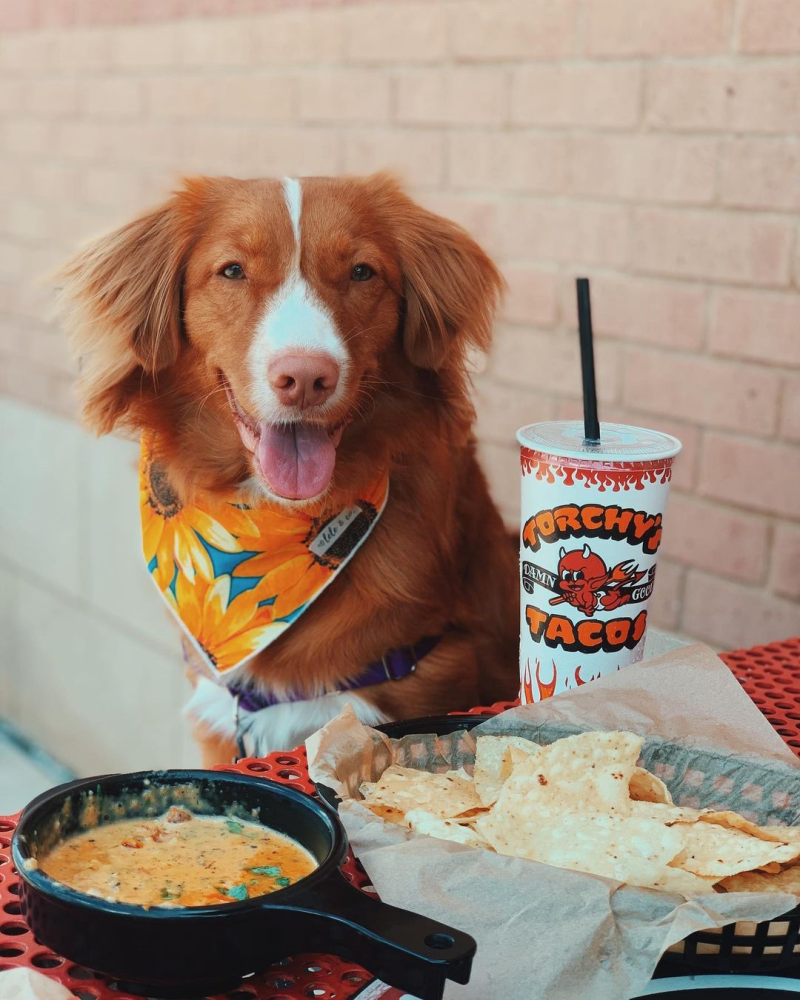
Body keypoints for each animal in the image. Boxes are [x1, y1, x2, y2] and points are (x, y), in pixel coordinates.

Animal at [57, 174, 520, 764]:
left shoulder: (426, 683)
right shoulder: (219, 718)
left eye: (362, 272)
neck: (272, 514)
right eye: (233, 270)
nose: (305, 379)